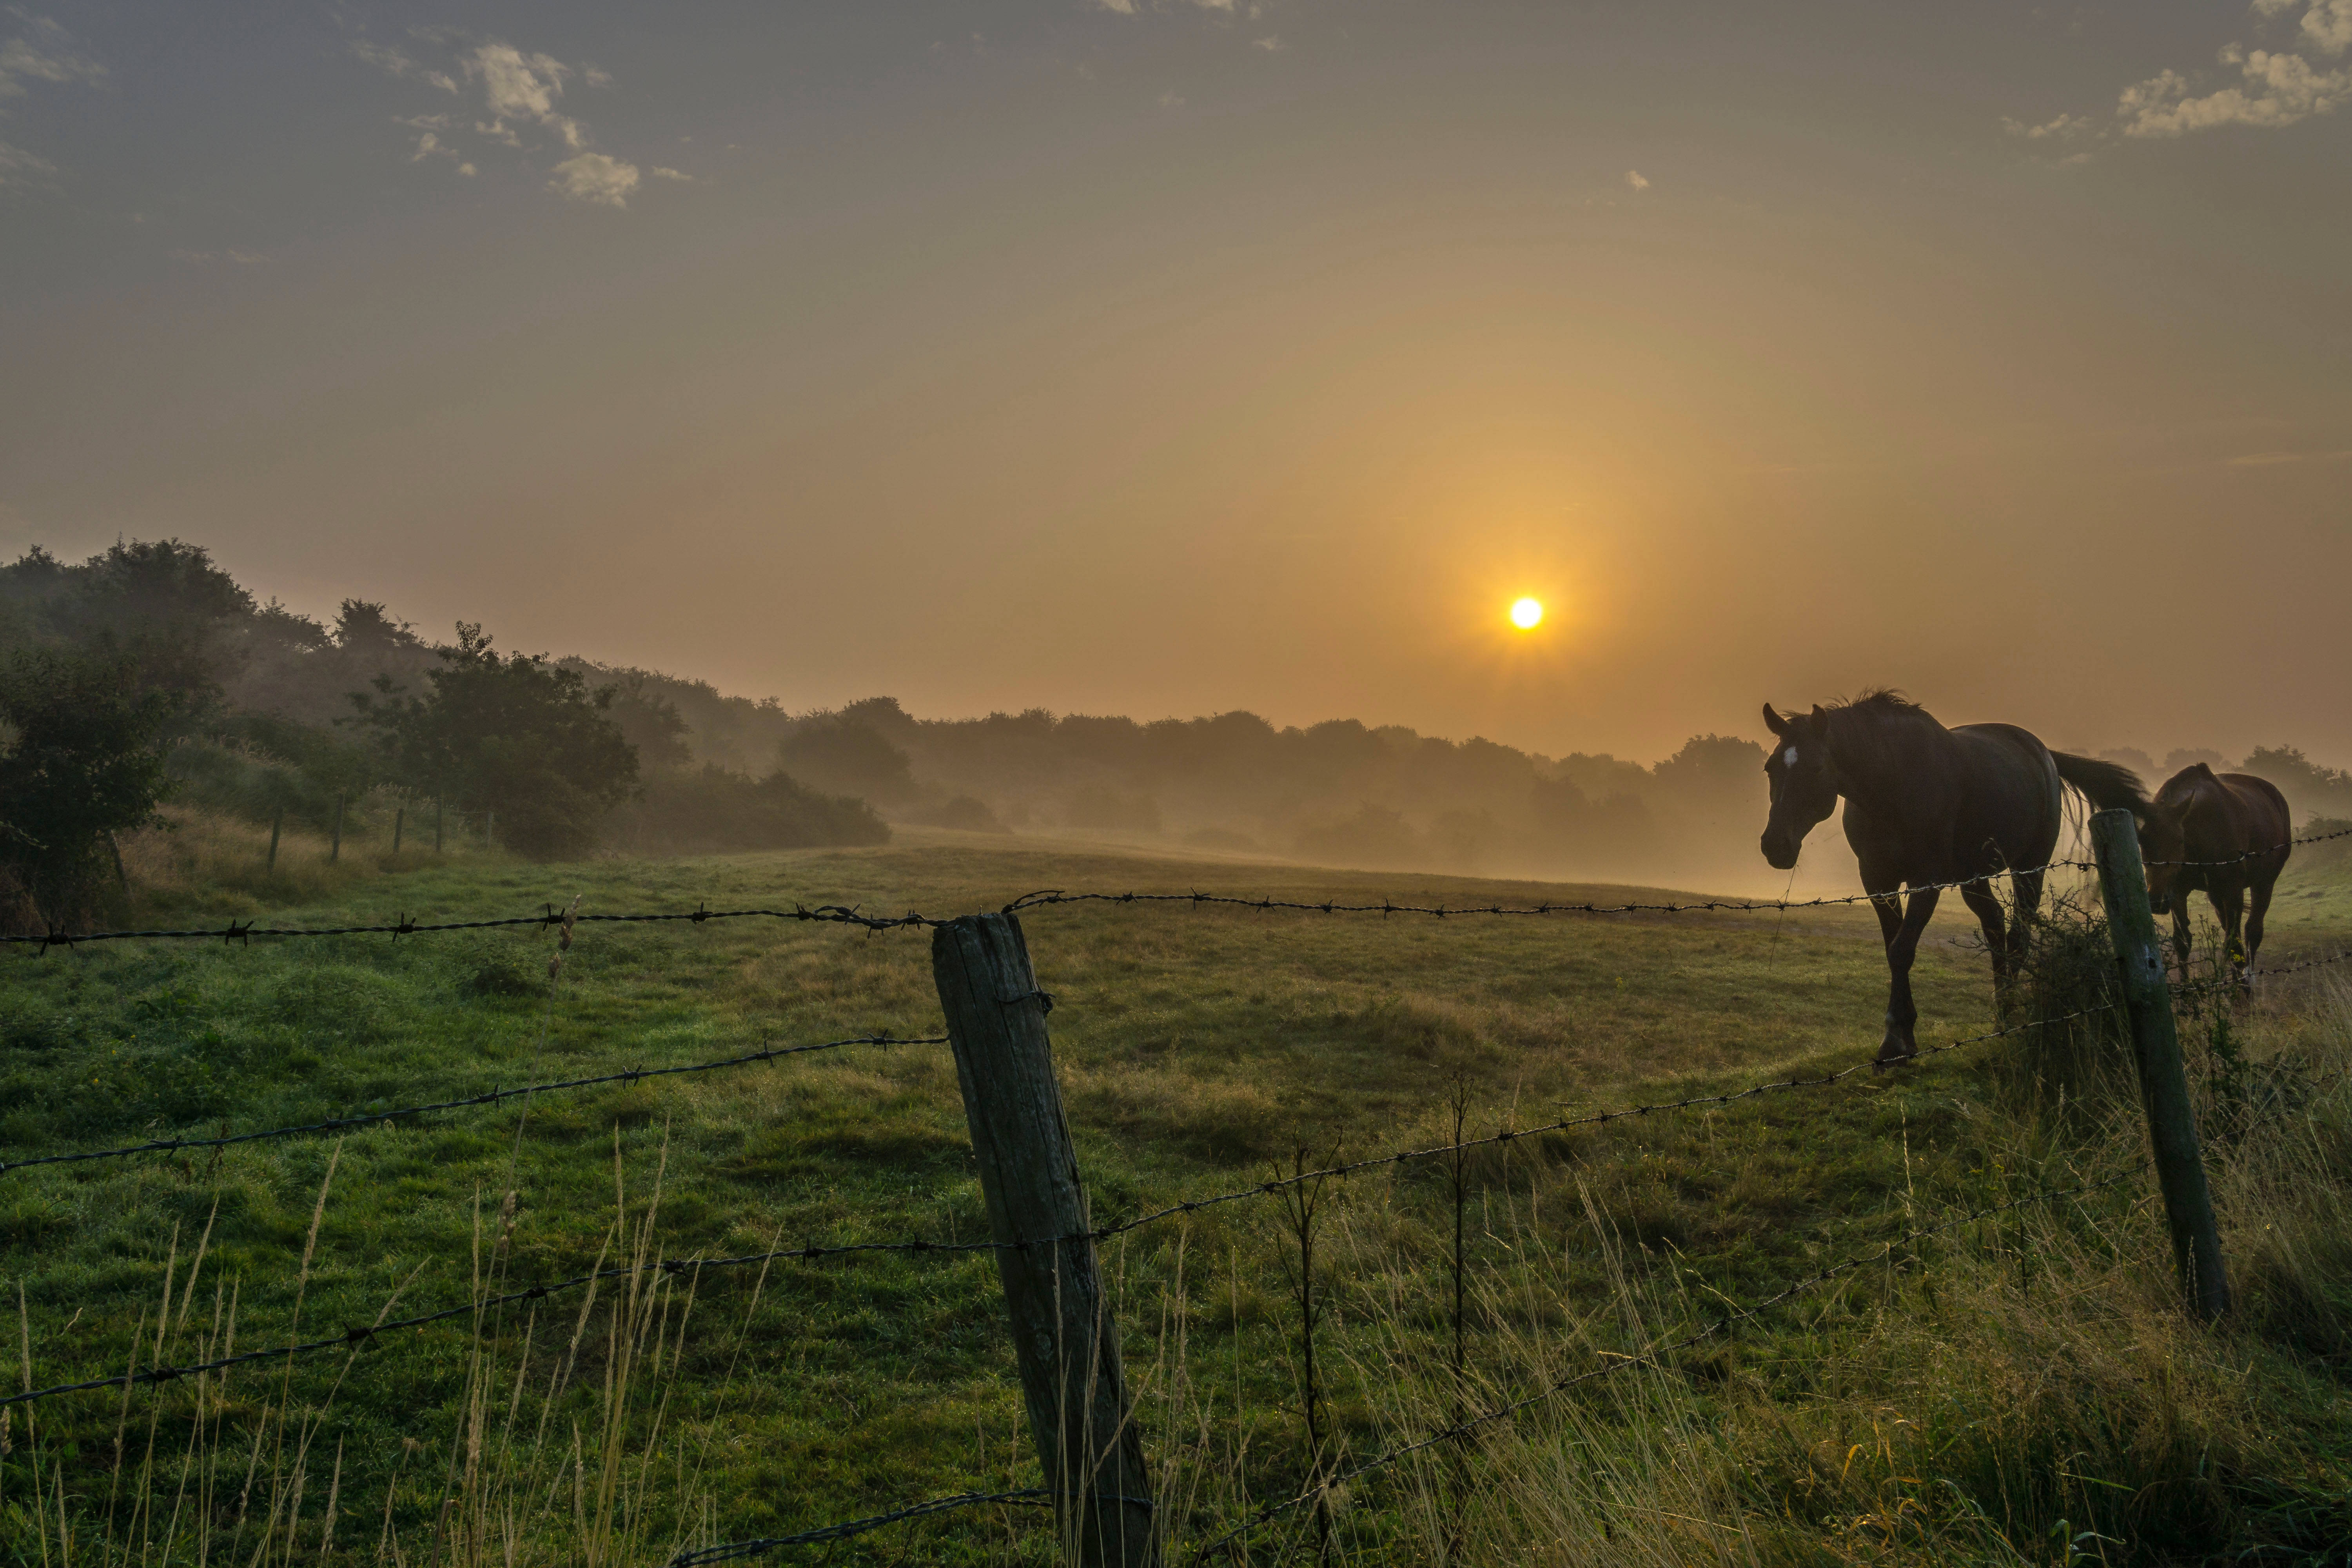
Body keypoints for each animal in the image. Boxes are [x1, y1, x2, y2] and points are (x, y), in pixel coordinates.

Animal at [1757, 692, 2146, 1065]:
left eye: (1816, 767)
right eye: (1770, 768)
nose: (1775, 845)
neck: (1893, 784)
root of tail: (2044, 754)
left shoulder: (1926, 880)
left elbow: (1902, 950)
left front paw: (1895, 1041)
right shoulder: (1878, 881)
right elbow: (1893, 947)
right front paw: (1902, 1035)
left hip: (2029, 869)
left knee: (2018, 936)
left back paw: (2009, 1014)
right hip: (1973, 877)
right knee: (1995, 925)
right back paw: (2001, 1013)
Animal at [2138, 763, 2291, 990]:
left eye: (2179, 841)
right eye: (2141, 840)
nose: (2156, 901)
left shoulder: (2233, 891)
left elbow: (2234, 944)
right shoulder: (2178, 893)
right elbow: (2183, 942)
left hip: (2264, 884)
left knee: (2252, 932)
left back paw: (2248, 982)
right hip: (2216, 895)